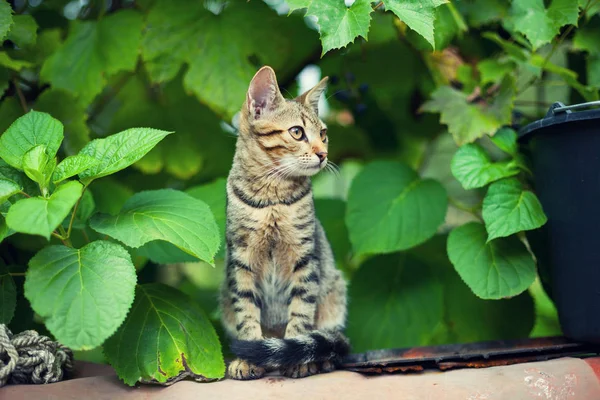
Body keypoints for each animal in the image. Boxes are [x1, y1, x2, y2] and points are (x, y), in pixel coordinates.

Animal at [223, 67, 350, 380]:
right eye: (297, 132)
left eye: (323, 134)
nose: (323, 154)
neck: (272, 199)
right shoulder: (241, 259)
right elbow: (246, 311)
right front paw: (248, 357)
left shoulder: (305, 257)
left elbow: (301, 312)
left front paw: (298, 357)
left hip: (335, 290)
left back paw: (318, 357)